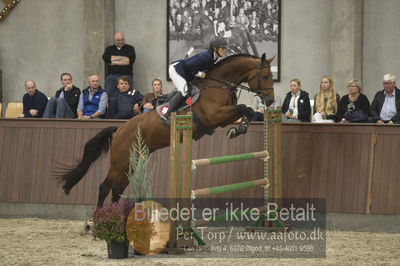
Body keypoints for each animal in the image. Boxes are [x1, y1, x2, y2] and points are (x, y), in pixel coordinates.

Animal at [57, 53, 274, 207]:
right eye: (265, 76)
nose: (271, 101)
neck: (219, 84)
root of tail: (119, 130)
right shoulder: (214, 115)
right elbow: (244, 108)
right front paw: (238, 129)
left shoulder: (221, 118)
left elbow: (246, 110)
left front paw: (239, 129)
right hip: (120, 163)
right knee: (104, 187)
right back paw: (94, 223)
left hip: (132, 163)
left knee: (117, 190)